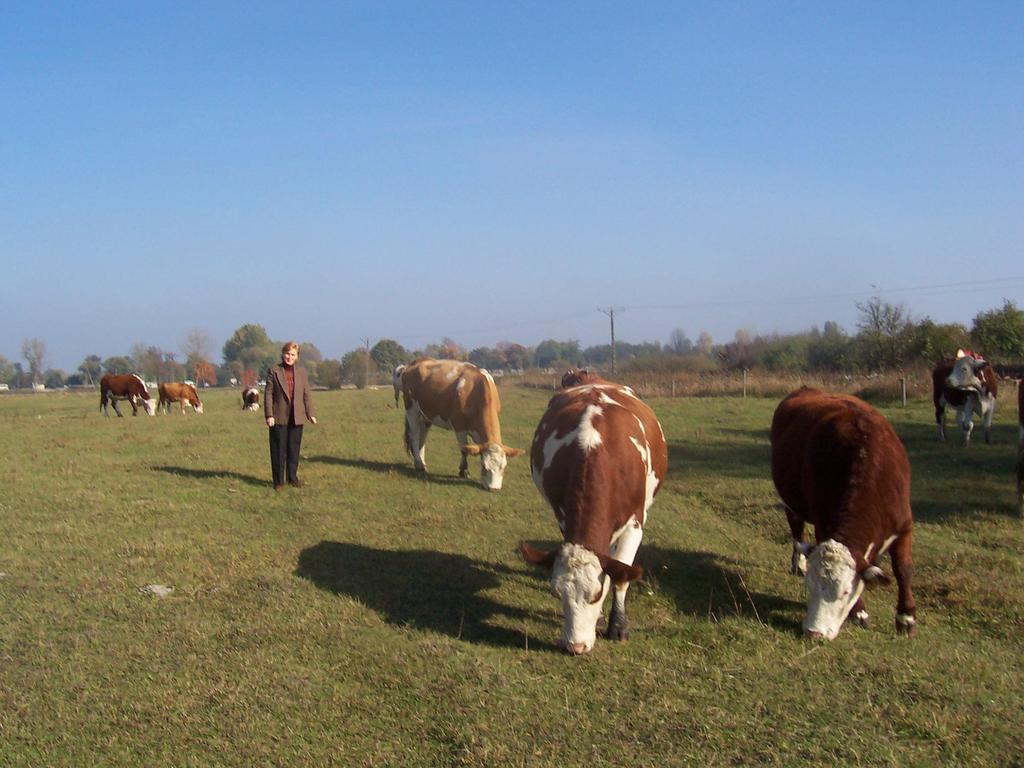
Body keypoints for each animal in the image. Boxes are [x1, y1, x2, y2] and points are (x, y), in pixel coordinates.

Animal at [397, 358, 524, 489]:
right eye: (485, 467)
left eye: (503, 467)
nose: (493, 488)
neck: (475, 391)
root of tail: (416, 362)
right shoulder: (459, 427)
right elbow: (464, 449)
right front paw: (464, 471)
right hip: (411, 408)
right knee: (415, 437)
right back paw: (419, 464)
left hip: (426, 415)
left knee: (422, 439)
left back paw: (422, 462)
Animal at [520, 376, 671, 651]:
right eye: (556, 592)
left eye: (596, 594)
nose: (575, 647)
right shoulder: (563, 517)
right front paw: (601, 619)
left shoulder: (635, 524)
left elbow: (620, 576)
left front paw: (618, 626)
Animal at [770, 387, 921, 638]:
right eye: (810, 587)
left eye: (844, 591)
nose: (813, 632)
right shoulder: (823, 524)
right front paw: (859, 612)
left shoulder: (904, 525)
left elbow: (904, 569)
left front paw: (906, 618)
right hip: (791, 500)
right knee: (796, 529)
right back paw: (798, 563)